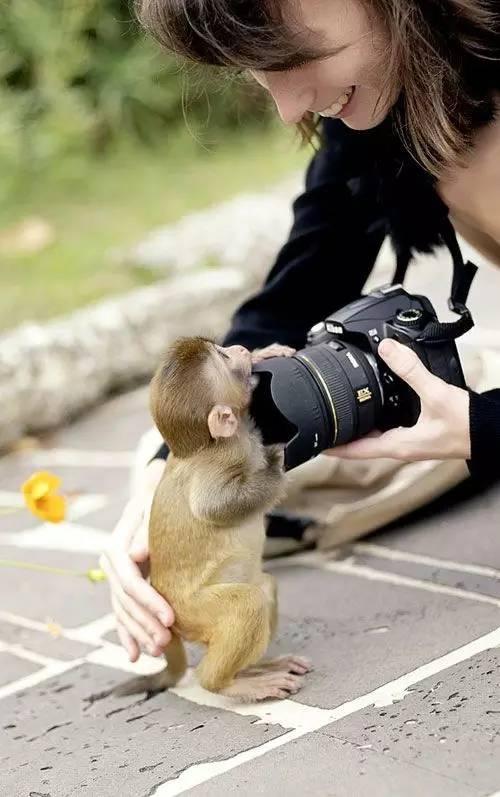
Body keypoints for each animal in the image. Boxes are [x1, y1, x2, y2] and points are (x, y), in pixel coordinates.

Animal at [116, 338, 310, 700]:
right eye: (223, 356)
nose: (238, 349)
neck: (204, 446)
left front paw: (265, 353)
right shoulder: (220, 459)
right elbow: (213, 507)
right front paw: (276, 465)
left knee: (264, 588)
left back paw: (252, 670)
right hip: (193, 611)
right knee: (247, 604)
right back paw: (225, 682)